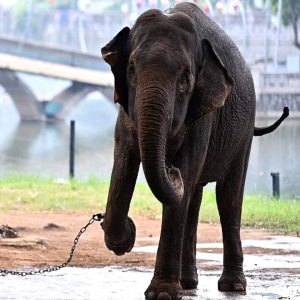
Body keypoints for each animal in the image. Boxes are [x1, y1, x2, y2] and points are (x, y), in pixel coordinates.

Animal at [100, 2, 288, 300]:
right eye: (131, 70)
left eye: (185, 78)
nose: (171, 168)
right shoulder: (126, 111)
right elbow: (123, 163)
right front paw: (125, 236)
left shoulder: (203, 115)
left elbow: (184, 180)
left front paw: (161, 294)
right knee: (194, 199)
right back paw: (188, 283)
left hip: (245, 130)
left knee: (227, 198)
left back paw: (232, 286)